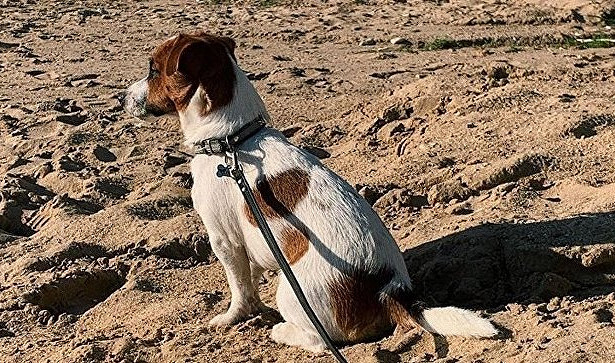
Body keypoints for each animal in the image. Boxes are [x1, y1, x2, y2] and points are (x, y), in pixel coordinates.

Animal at [121, 32, 500, 352]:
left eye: (153, 69)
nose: (120, 97)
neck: (233, 140)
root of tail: (388, 291)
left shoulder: (223, 239)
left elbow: (239, 288)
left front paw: (234, 316)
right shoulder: (247, 241)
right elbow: (251, 274)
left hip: (291, 292)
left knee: (317, 341)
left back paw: (281, 331)